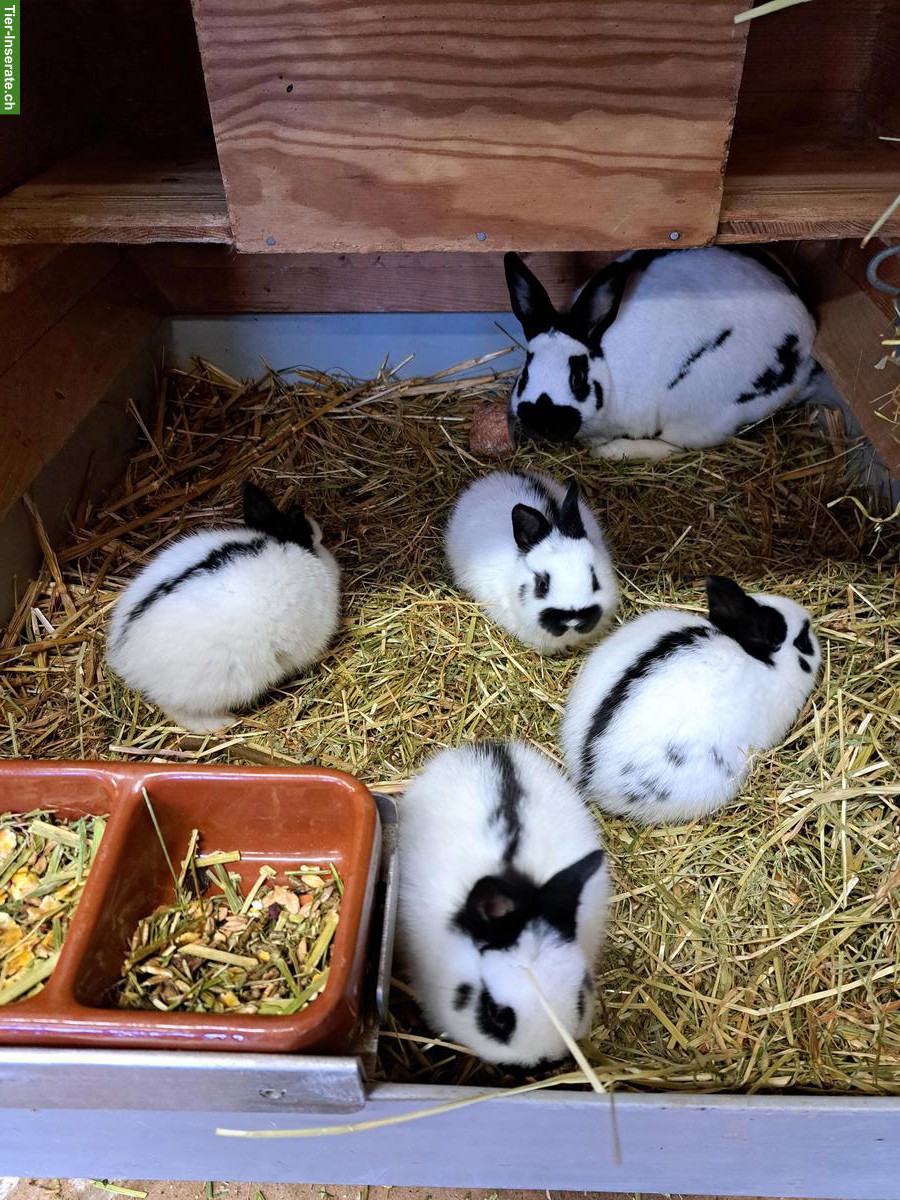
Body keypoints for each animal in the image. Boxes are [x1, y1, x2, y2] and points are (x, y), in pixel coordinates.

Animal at [504, 246, 817, 460]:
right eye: (525, 373)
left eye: (577, 378)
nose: (542, 423)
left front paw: (596, 446)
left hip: (696, 407)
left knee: (675, 446)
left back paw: (612, 451)